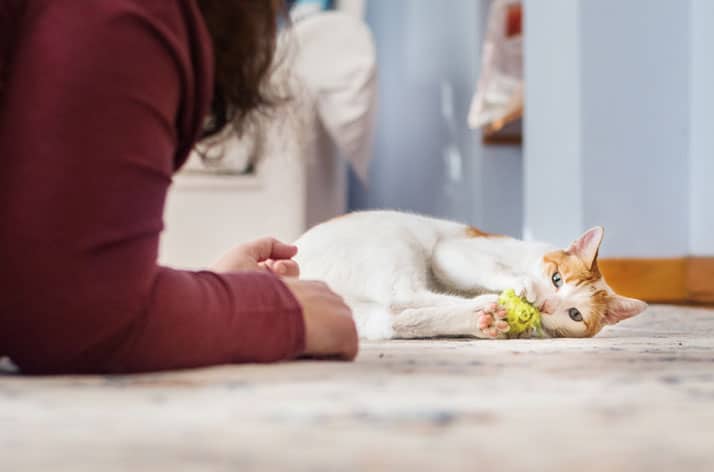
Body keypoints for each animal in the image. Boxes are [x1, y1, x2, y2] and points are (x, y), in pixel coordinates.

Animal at [292, 210, 648, 340]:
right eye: (556, 279)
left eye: (575, 314)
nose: (546, 305)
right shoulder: (452, 252)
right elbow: (494, 269)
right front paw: (522, 285)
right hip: (394, 244)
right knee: (402, 297)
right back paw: (486, 306)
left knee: (396, 317)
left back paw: (482, 317)